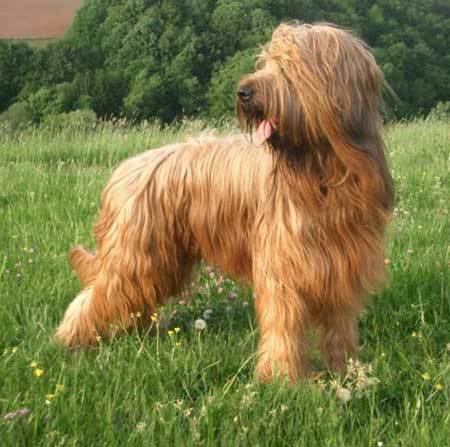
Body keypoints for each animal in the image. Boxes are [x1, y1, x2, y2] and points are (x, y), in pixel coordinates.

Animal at [55, 23, 394, 382]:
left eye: (286, 65)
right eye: (265, 62)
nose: (243, 91)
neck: (321, 173)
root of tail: (122, 172)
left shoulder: (343, 261)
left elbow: (339, 324)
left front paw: (346, 369)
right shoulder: (283, 263)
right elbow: (284, 322)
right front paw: (284, 378)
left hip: (163, 258)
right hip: (135, 253)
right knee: (98, 293)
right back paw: (70, 339)